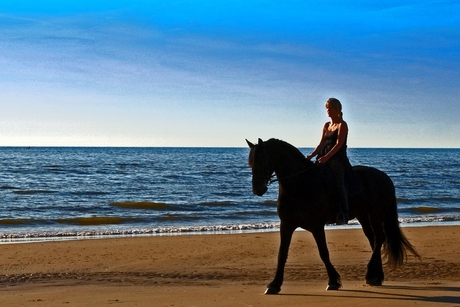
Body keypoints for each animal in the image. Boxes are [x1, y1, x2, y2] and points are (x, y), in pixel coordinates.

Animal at [248, 138, 420, 294]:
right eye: (251, 163)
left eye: (262, 161)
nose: (257, 189)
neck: (301, 183)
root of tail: (385, 177)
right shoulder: (286, 225)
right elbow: (282, 254)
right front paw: (274, 284)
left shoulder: (316, 226)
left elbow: (323, 253)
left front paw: (333, 281)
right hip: (363, 216)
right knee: (373, 240)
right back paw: (376, 276)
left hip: (376, 214)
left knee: (379, 238)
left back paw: (371, 274)